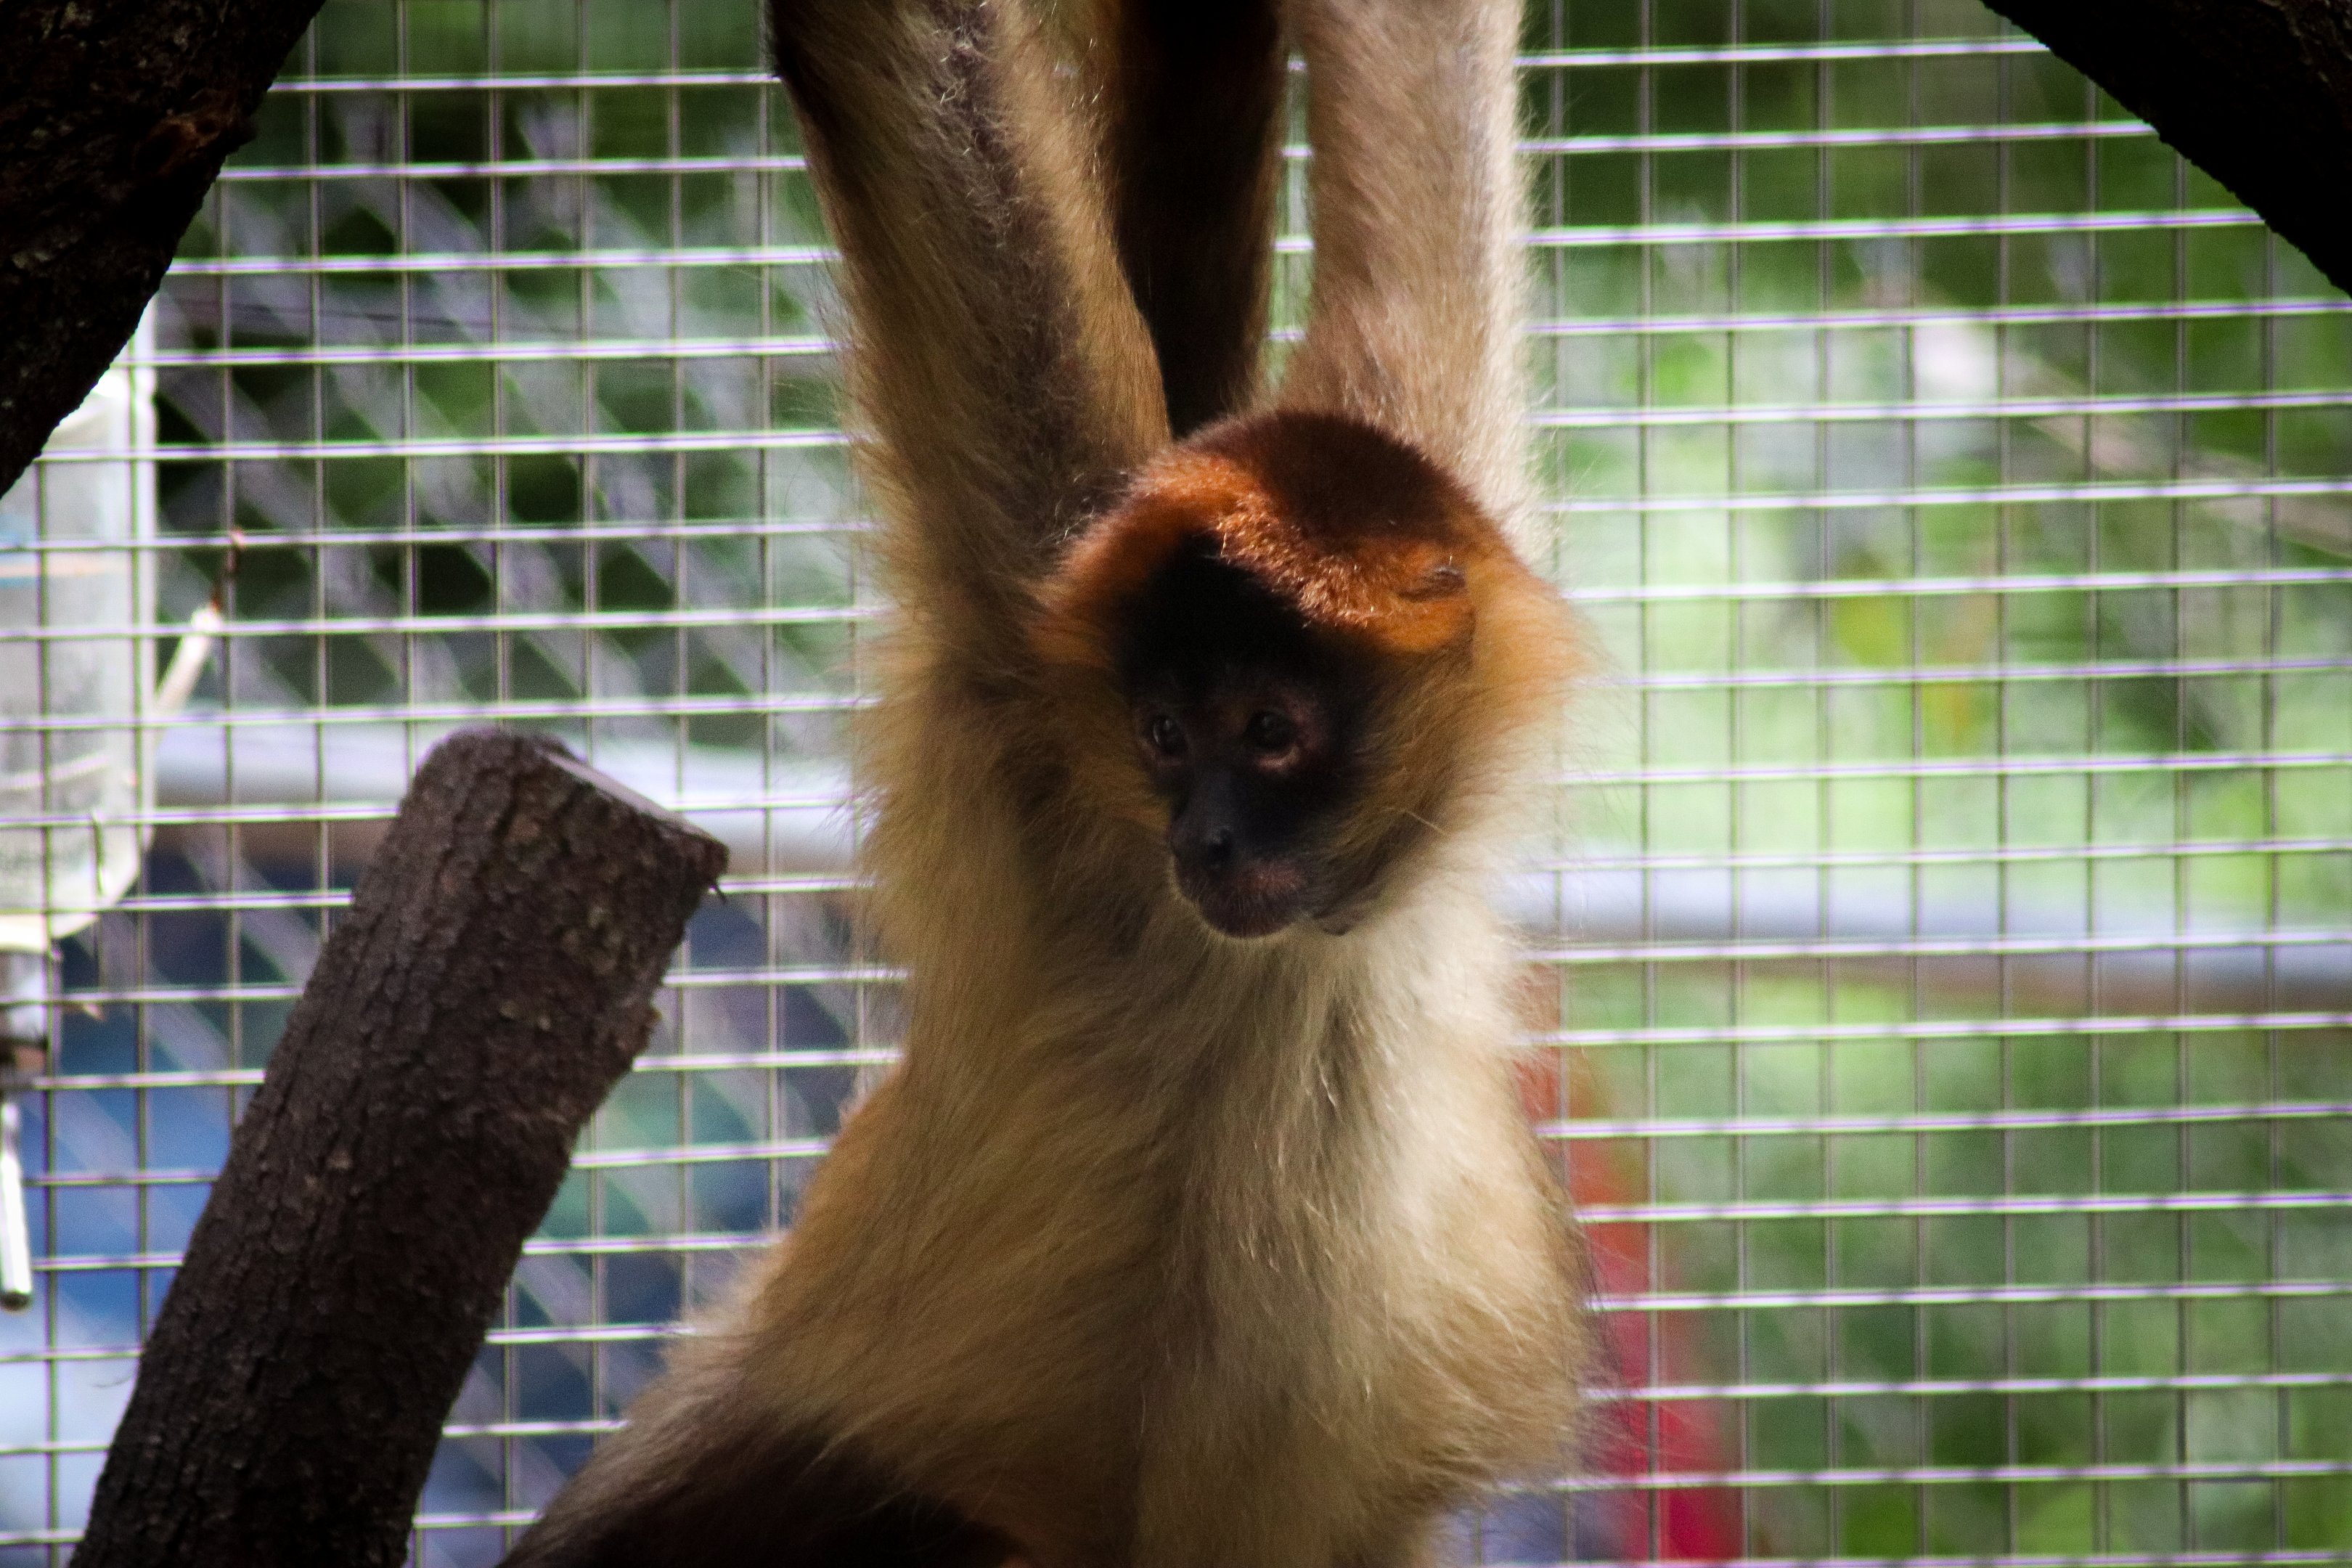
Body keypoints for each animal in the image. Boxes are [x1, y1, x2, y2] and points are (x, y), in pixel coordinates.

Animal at [497, 0, 1587, 1563]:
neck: (1289, 957)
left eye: (1270, 732)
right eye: (1164, 737)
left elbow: (1426, 89)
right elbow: (902, 60)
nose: (1205, 841)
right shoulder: (1036, 630)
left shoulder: (1448, 474)